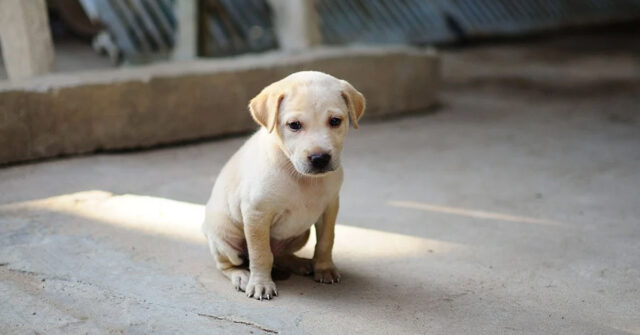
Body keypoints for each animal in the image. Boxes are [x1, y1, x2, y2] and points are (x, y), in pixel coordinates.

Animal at [202, 71, 368, 302]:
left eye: (335, 121)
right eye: (294, 125)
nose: (319, 158)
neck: (300, 177)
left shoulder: (330, 207)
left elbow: (326, 241)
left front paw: (324, 268)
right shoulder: (257, 213)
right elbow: (261, 253)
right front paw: (261, 284)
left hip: (300, 234)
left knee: (280, 255)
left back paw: (299, 263)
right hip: (225, 237)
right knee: (229, 264)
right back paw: (242, 276)